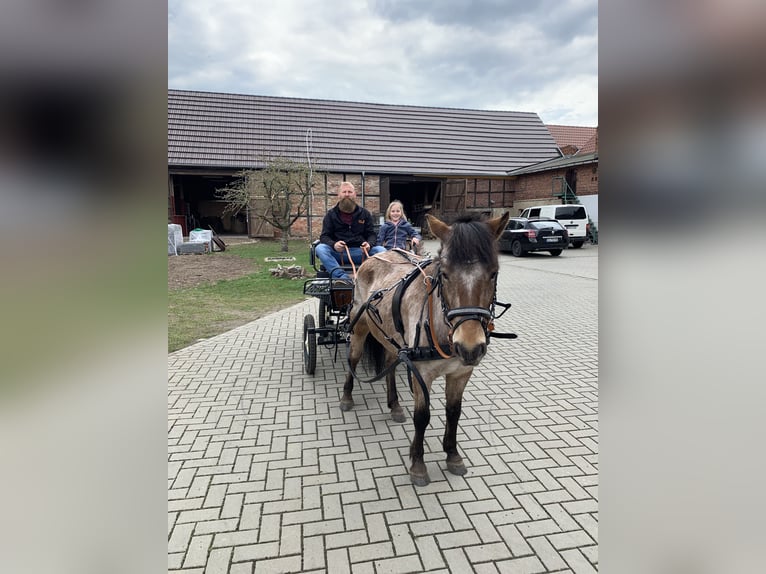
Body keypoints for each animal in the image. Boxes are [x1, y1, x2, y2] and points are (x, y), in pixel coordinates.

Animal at [340, 212, 510, 486]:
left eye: (493, 273)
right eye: (446, 274)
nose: (470, 347)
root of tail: (372, 257)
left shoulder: (461, 373)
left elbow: (454, 412)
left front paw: (452, 454)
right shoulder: (422, 374)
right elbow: (422, 416)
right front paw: (418, 464)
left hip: (393, 340)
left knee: (389, 364)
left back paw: (395, 405)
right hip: (359, 328)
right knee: (352, 361)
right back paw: (346, 398)